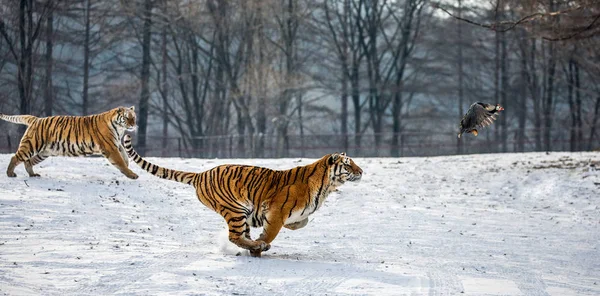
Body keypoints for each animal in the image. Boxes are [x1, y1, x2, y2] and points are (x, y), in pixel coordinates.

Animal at [0, 107, 138, 179]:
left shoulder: (116, 144)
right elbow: (120, 161)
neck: (119, 128)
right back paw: (10, 173)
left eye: (134, 117)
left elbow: (124, 154)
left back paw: (33, 174)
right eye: (127, 117)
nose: (133, 125)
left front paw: (127, 163)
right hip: (32, 145)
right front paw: (132, 174)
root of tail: (36, 119)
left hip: (44, 152)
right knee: (15, 157)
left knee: (28, 161)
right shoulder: (110, 147)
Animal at [123, 134, 360, 256]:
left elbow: (303, 222)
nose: (362, 171)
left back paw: (253, 246)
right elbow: (272, 231)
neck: (327, 186)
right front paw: (263, 241)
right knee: (234, 236)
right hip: (236, 209)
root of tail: (201, 174)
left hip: (241, 213)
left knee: (241, 236)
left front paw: (286, 228)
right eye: (348, 164)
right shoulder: (276, 211)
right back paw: (256, 246)